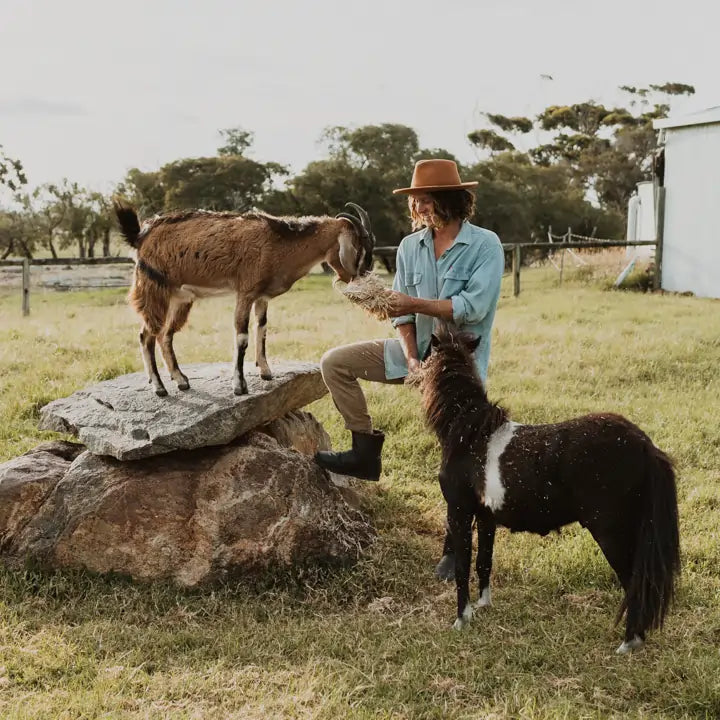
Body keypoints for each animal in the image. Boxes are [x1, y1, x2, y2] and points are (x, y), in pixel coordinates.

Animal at [114, 201, 374, 394]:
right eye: (359, 247)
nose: (364, 274)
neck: (278, 242)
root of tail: (140, 236)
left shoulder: (261, 297)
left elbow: (262, 329)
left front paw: (266, 371)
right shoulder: (245, 292)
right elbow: (242, 337)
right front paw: (239, 386)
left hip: (180, 299)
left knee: (165, 335)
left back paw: (181, 380)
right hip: (154, 289)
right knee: (146, 335)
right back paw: (159, 387)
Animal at [422, 330, 680, 656]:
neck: (470, 435)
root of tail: (646, 446)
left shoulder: (459, 511)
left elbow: (461, 566)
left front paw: (461, 619)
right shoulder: (486, 516)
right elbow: (483, 562)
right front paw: (483, 605)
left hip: (612, 532)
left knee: (634, 582)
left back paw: (628, 642)